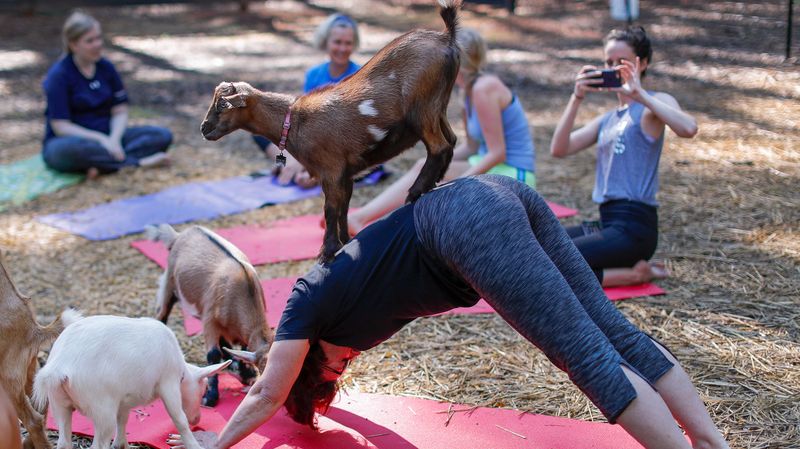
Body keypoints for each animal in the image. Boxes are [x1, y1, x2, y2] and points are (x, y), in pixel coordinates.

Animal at [32, 310, 230, 448]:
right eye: (203, 389)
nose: (196, 419)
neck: (181, 369)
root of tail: (60, 365)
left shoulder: (123, 401)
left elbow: (123, 421)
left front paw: (122, 445)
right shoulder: (169, 383)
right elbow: (179, 418)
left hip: (58, 403)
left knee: (64, 442)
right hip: (102, 409)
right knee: (98, 445)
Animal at [147, 224, 276, 406]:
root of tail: (180, 235)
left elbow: (240, 349)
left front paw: (246, 374)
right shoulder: (210, 322)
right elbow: (213, 354)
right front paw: (210, 397)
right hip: (170, 285)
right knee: (162, 315)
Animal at [200, 0, 462, 260]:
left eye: (222, 105)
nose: (204, 129)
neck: (294, 122)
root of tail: (445, 36)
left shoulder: (331, 171)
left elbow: (330, 210)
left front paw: (327, 251)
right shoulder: (346, 175)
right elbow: (343, 209)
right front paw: (346, 241)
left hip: (422, 107)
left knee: (439, 146)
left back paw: (415, 192)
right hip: (439, 105)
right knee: (452, 140)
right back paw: (434, 183)